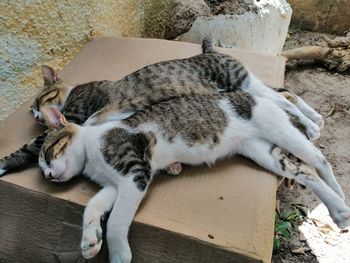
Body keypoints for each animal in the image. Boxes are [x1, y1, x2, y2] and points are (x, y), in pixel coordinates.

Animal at [0, 37, 322, 177]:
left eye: (37, 102)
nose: (37, 116)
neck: (72, 92)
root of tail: (209, 51)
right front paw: (171, 165)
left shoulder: (79, 113)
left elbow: (31, 146)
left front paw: (4, 163)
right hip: (244, 85)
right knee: (283, 93)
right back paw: (314, 119)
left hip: (238, 81)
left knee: (280, 99)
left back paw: (310, 125)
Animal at [37, 93, 348, 263]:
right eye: (42, 167)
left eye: (47, 153)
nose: (49, 175)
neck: (92, 149)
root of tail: (256, 95)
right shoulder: (114, 185)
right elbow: (92, 207)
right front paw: (90, 240)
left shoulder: (135, 173)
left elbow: (115, 222)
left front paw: (118, 254)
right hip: (261, 151)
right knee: (303, 171)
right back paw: (336, 207)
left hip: (280, 131)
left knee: (318, 159)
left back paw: (340, 203)